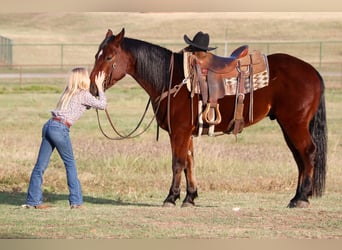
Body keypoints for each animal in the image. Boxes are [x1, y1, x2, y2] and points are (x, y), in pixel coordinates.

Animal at [89, 28, 328, 208]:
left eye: (108, 57)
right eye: (96, 56)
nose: (92, 88)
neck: (171, 78)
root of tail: (313, 71)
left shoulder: (180, 131)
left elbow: (177, 162)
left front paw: (171, 197)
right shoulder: (186, 133)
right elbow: (189, 162)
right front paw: (190, 197)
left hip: (294, 124)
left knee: (308, 152)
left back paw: (302, 198)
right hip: (288, 126)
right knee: (299, 158)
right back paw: (296, 197)